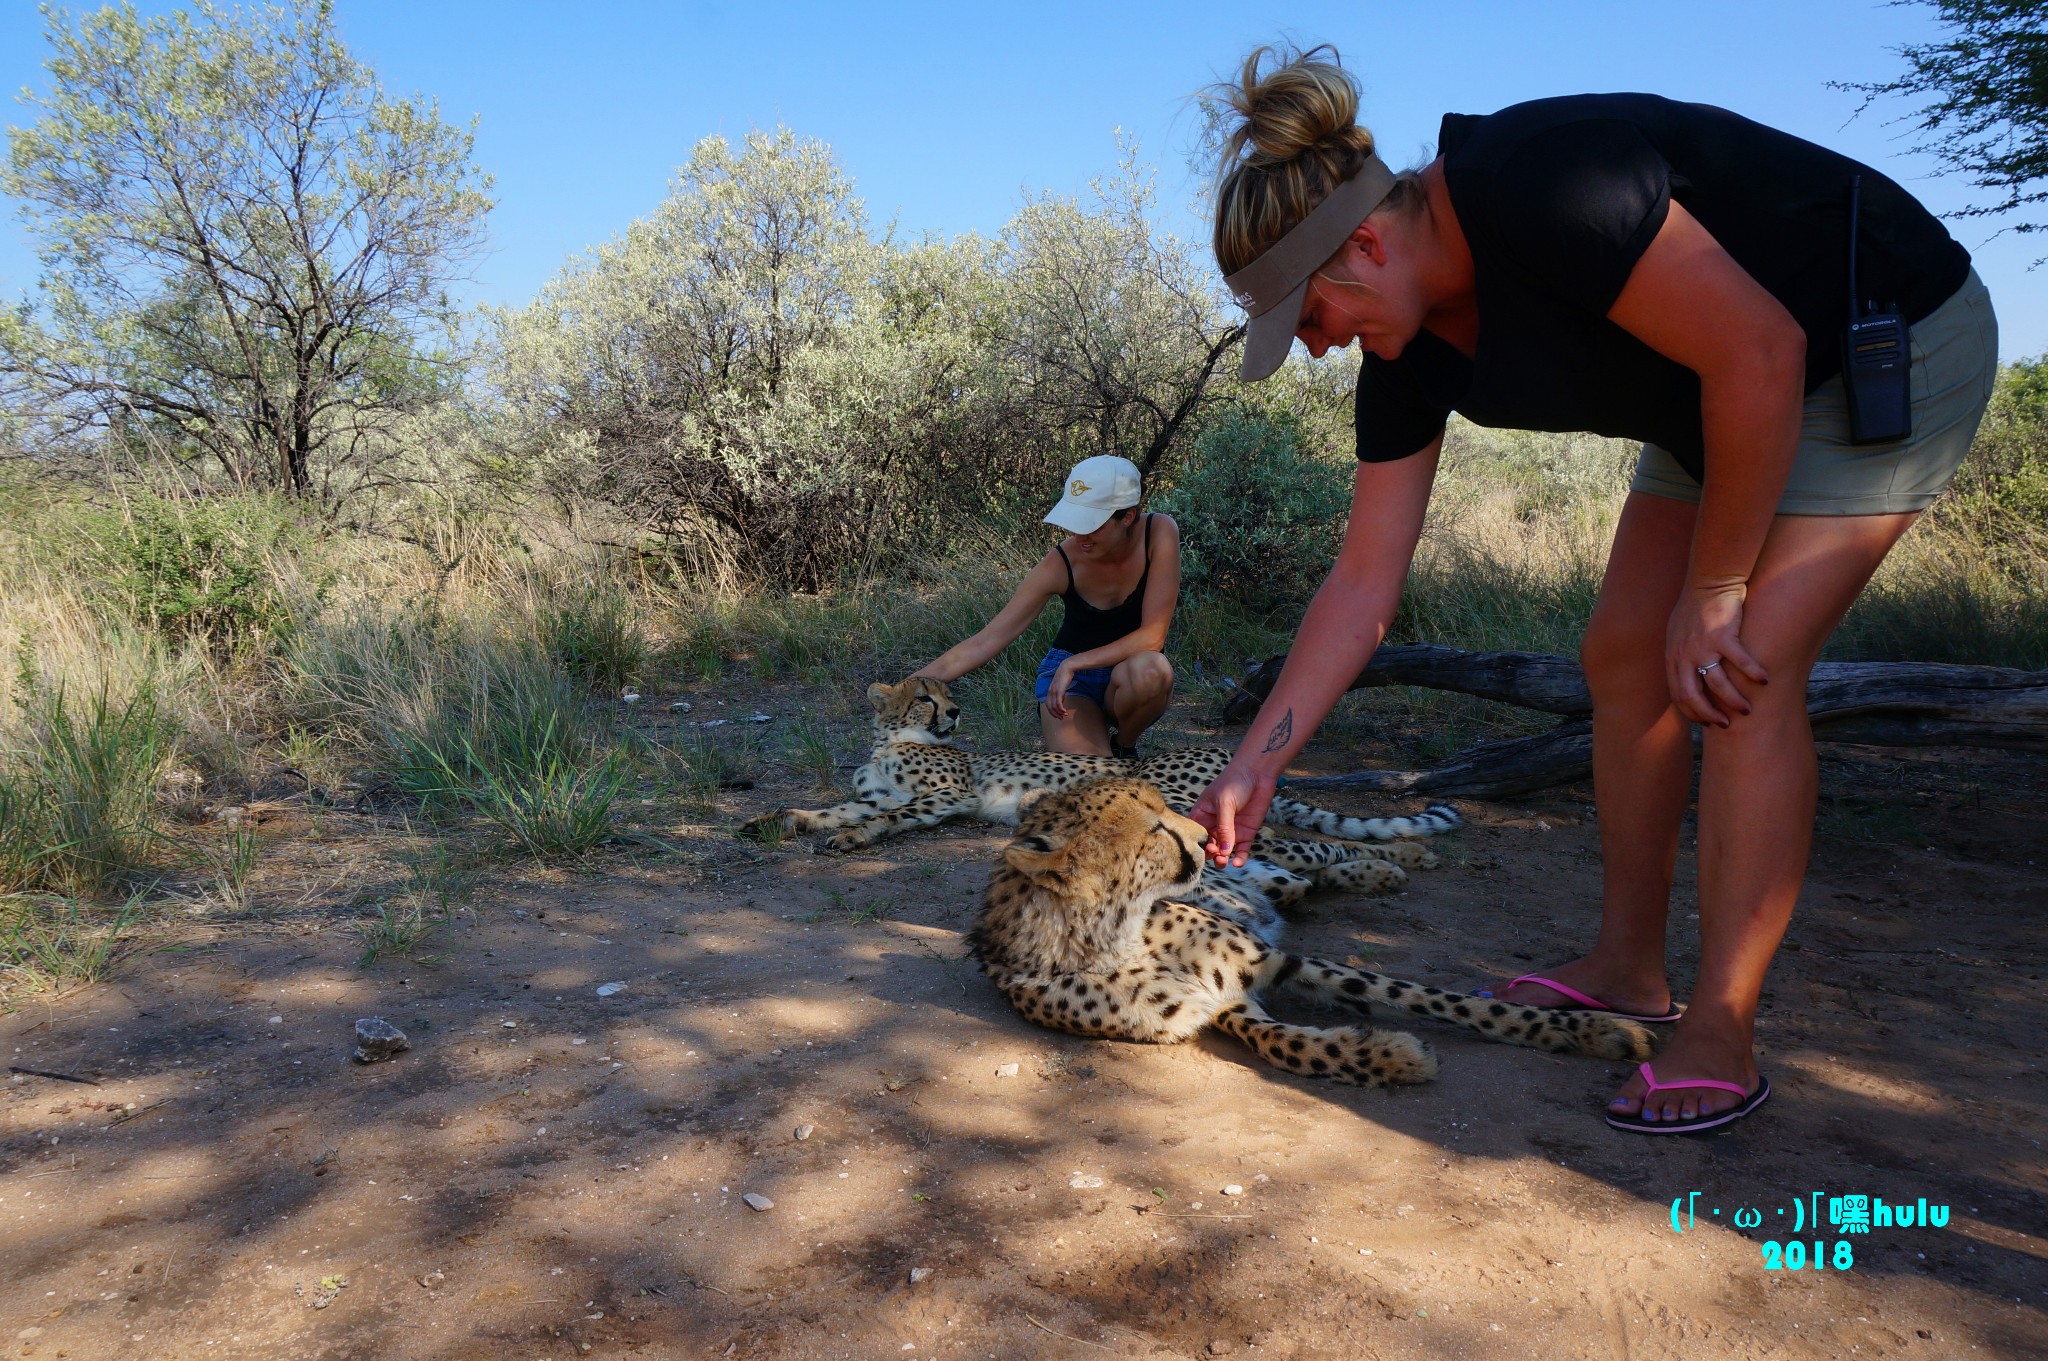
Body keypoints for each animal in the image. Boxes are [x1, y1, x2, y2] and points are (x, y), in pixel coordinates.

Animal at [737, 675, 1458, 896]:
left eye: (946, 694)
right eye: (924, 696)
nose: (955, 713)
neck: (892, 741)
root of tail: (1224, 749)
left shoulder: (946, 797)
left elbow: (879, 820)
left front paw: (849, 840)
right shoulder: (873, 790)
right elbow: (828, 808)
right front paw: (776, 822)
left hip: (1184, 808)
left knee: (1304, 844)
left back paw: (1404, 858)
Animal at [966, 773, 1654, 1080]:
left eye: (1162, 811)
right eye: (1154, 828)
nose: (1201, 836)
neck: (1116, 932)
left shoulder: (1272, 960)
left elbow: (1445, 999)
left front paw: (1592, 1030)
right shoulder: (1222, 1004)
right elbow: (1288, 1043)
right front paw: (1390, 1055)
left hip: (1266, 861)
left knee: (1321, 850)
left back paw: (1397, 858)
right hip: (1269, 886)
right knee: (1307, 879)